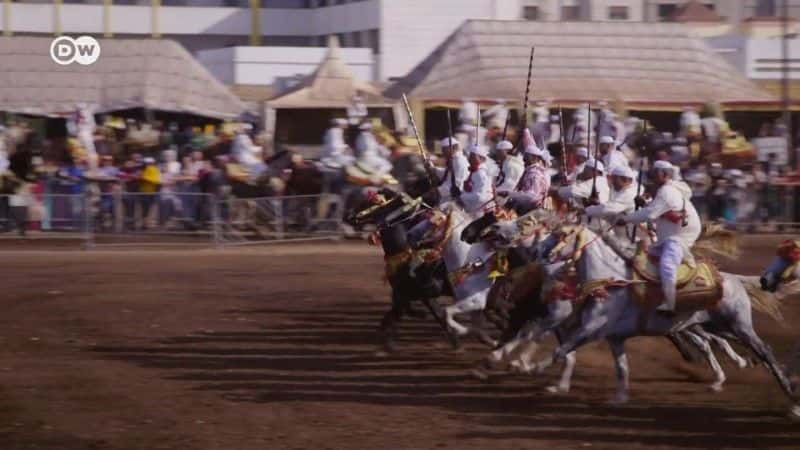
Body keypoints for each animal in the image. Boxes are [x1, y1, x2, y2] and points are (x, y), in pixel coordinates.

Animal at [540, 225, 796, 412]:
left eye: (561, 234)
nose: (545, 254)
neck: (611, 281)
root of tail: (734, 279)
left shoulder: (592, 328)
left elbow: (560, 350)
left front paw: (537, 367)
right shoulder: (615, 338)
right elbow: (622, 368)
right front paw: (620, 399)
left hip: (738, 325)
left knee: (763, 349)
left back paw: (790, 393)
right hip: (718, 326)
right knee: (734, 346)